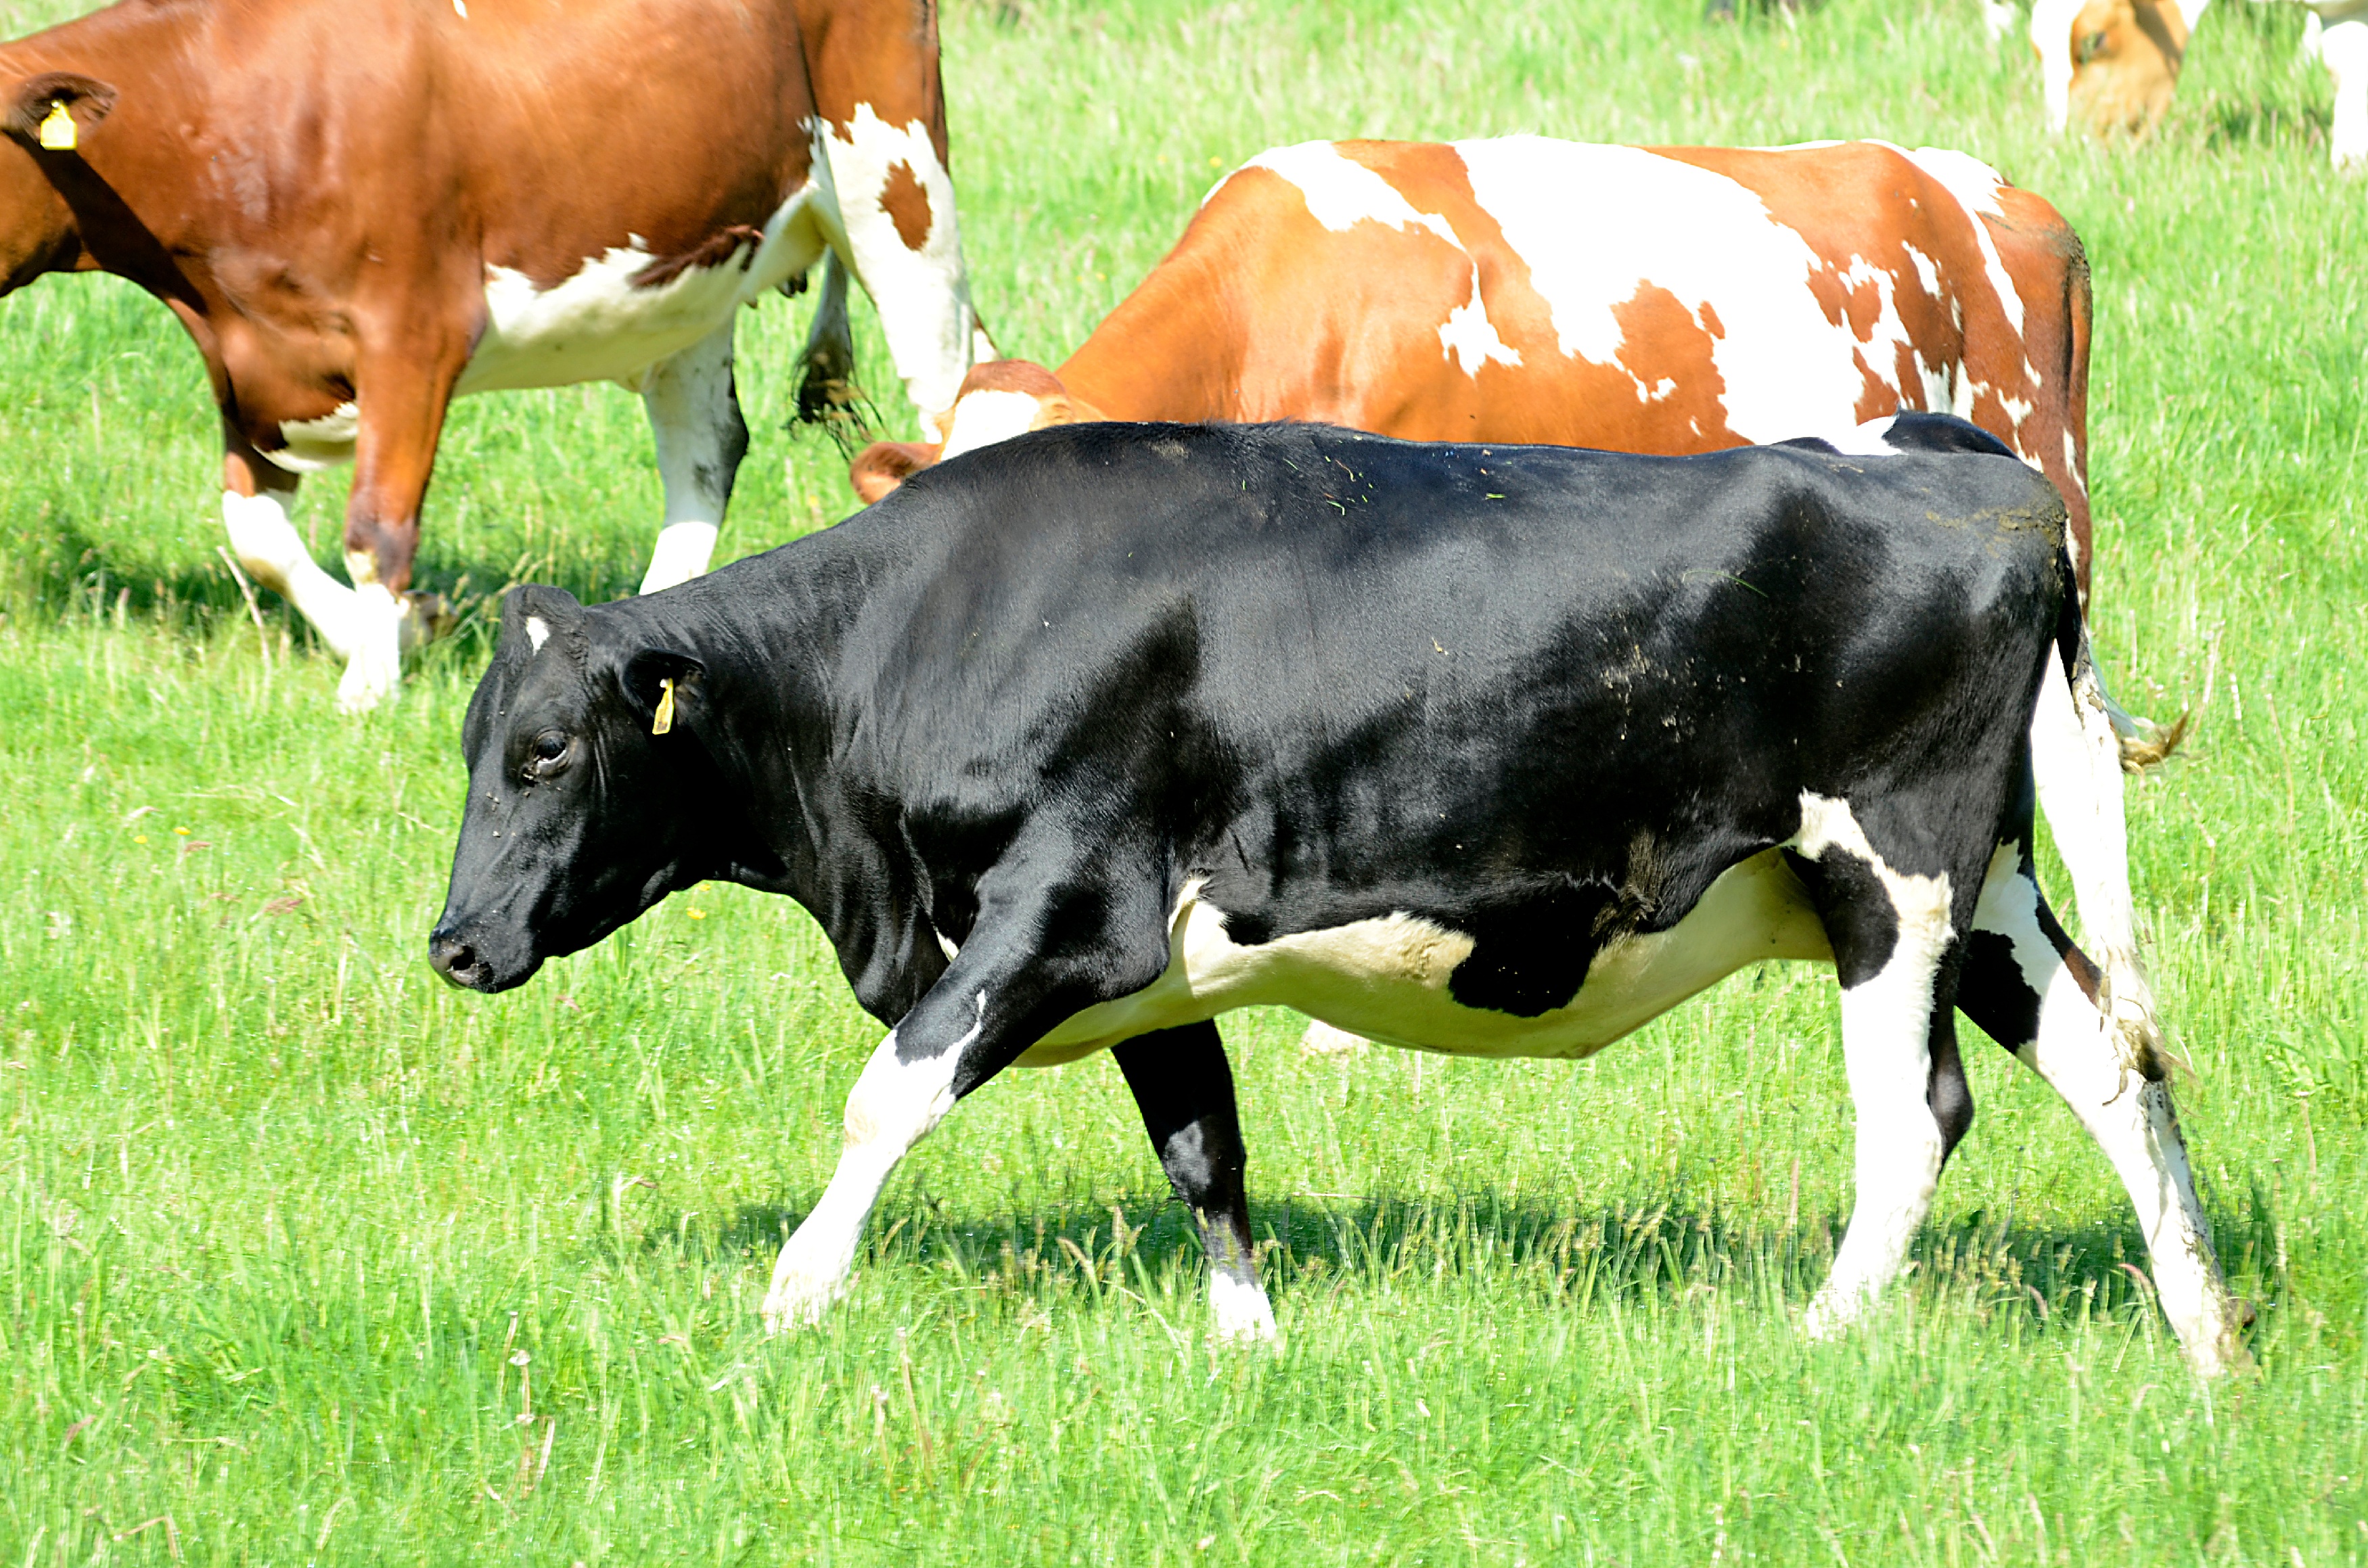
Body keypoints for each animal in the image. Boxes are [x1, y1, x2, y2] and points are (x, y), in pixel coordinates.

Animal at [2, 0, 999, 710]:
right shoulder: (248, 363)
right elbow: (257, 538)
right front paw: (400, 631)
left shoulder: (413, 331)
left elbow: (375, 526)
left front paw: (371, 684)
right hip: (700, 261)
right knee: (709, 453)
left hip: (896, 186)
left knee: (949, 395)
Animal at [431, 414, 2254, 1373]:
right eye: (468, 745)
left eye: (542, 751)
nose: (451, 943)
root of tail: (1963, 461)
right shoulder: (1148, 973)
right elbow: (1205, 1149)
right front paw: (1249, 1350)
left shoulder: (1063, 910)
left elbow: (888, 1093)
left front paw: (794, 1294)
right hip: (1987, 886)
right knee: (2114, 1061)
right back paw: (2209, 1332)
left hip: (1890, 877)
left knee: (1914, 1114)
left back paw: (1820, 1331)